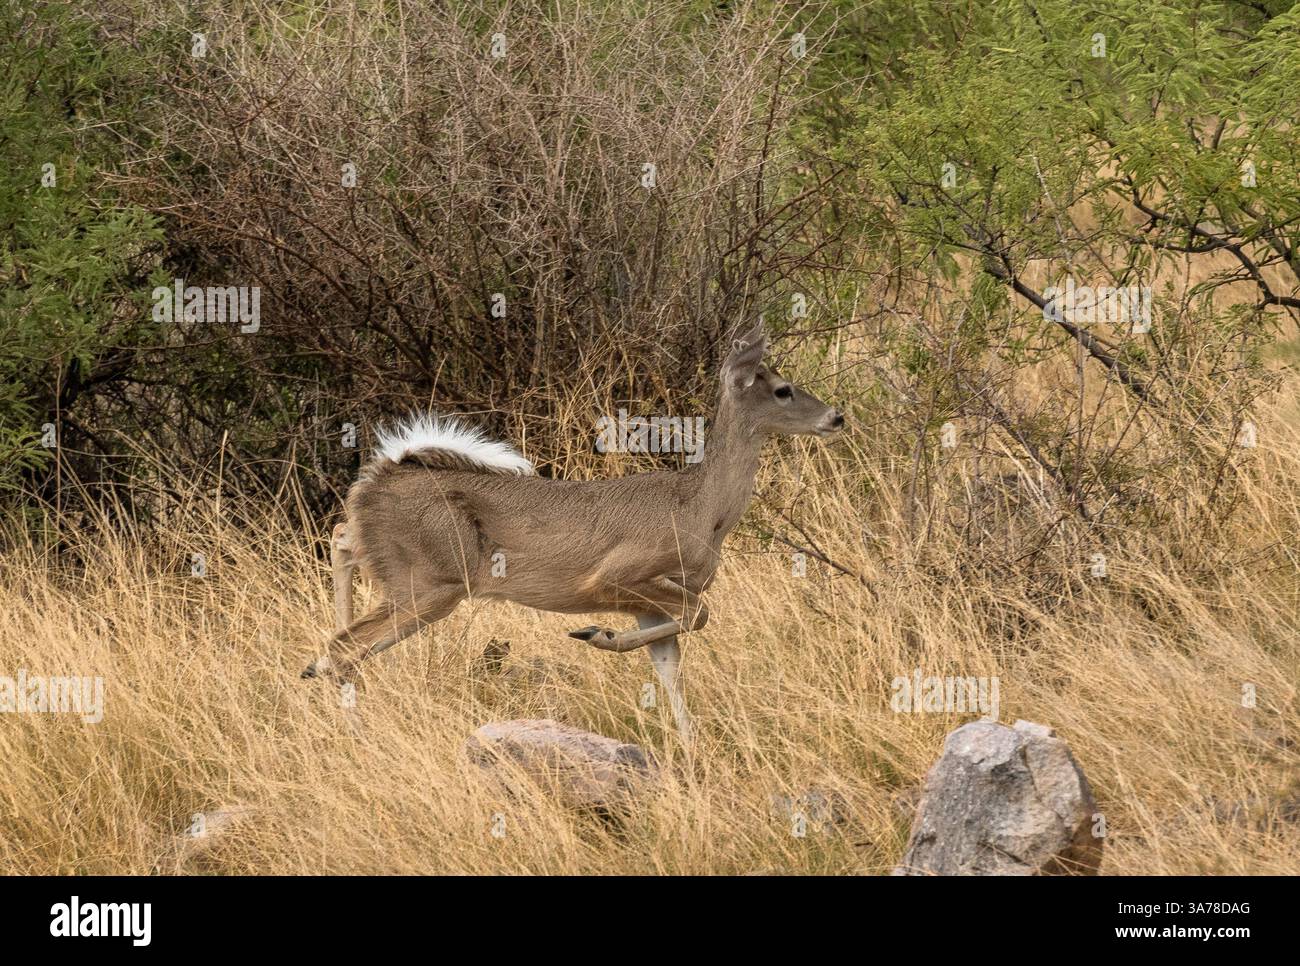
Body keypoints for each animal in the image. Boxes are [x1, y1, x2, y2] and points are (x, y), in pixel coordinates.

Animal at [302, 322, 844, 740]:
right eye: (782, 389)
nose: (836, 416)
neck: (702, 509)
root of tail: (381, 474)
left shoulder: (648, 601)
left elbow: (670, 666)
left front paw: (691, 752)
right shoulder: (621, 575)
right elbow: (700, 616)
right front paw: (595, 633)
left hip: (403, 569)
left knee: (340, 549)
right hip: (431, 581)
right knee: (344, 646)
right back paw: (353, 729)